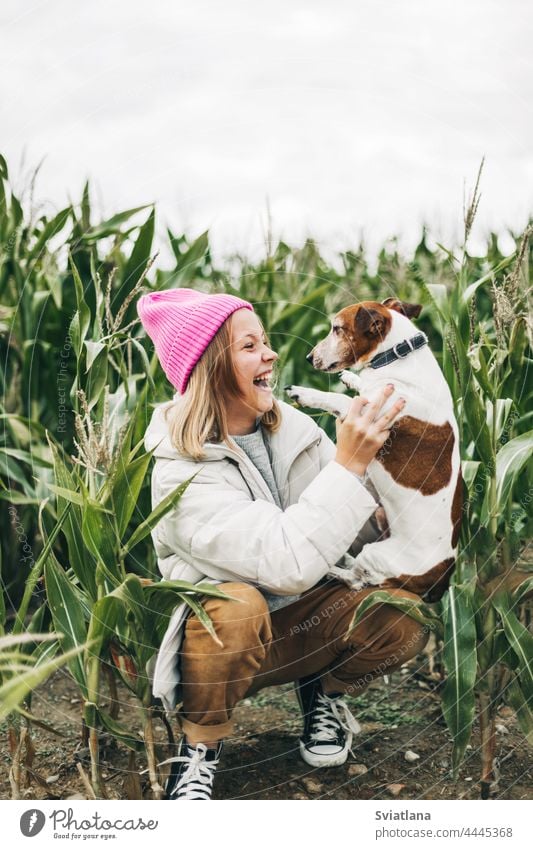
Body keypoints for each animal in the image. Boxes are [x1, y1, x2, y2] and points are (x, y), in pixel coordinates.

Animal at [286, 298, 462, 604]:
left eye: (336, 329)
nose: (308, 357)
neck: (397, 355)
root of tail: (440, 581)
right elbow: (362, 386)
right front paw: (351, 379)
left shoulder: (366, 414)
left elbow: (337, 398)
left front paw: (307, 393)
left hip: (377, 554)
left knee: (357, 580)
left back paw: (333, 568)